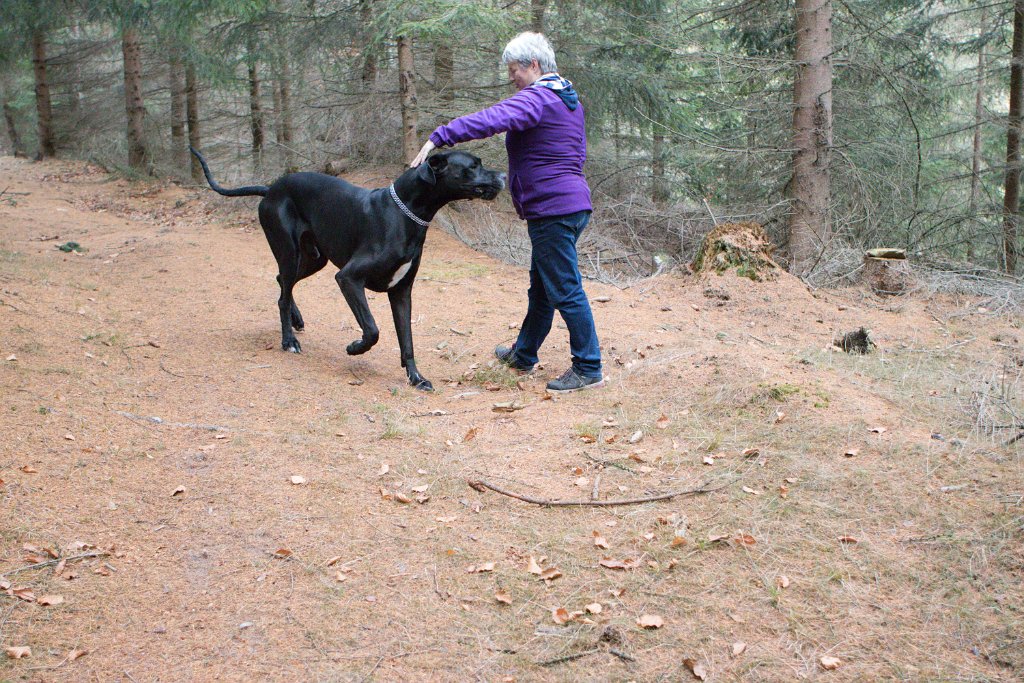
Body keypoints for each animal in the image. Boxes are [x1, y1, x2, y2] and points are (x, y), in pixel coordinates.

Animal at [191, 145, 503, 389]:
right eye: (473, 165)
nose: (502, 176)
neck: (406, 215)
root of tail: (271, 189)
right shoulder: (349, 278)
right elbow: (372, 329)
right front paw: (355, 348)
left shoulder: (402, 291)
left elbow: (407, 340)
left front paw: (416, 378)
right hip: (291, 252)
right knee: (282, 294)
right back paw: (288, 340)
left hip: (315, 257)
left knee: (282, 281)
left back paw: (296, 320)